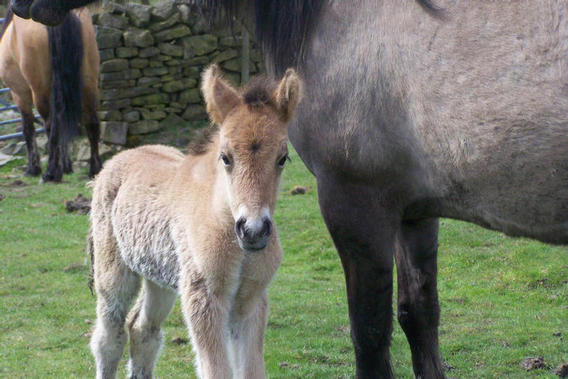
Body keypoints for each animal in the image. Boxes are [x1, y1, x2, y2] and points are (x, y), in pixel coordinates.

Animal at [0, 7, 101, 183]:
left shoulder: (19, 93)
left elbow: (28, 128)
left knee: (50, 125)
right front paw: (67, 166)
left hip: (40, 91)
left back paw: (51, 172)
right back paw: (94, 169)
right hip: (88, 83)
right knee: (91, 122)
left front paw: (33, 168)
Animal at [89, 65, 302, 379]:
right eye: (225, 157)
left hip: (161, 277)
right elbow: (216, 371)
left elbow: (251, 370)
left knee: (142, 329)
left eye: (283, 158)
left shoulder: (251, 301)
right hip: (114, 272)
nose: (253, 230)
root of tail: (120, 157)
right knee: (109, 337)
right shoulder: (203, 297)